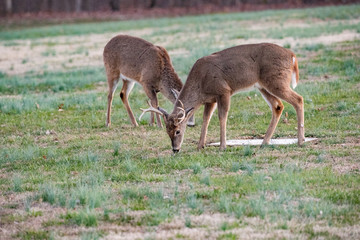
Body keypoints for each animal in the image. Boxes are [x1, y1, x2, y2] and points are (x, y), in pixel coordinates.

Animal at [140, 42, 304, 152]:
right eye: (167, 131)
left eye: (178, 131)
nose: (175, 149)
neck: (200, 83)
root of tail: (292, 56)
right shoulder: (209, 100)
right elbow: (206, 119)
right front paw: (200, 145)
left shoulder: (223, 91)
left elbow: (222, 117)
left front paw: (222, 146)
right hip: (263, 86)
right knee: (278, 106)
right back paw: (264, 142)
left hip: (276, 81)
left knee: (298, 99)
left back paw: (300, 140)